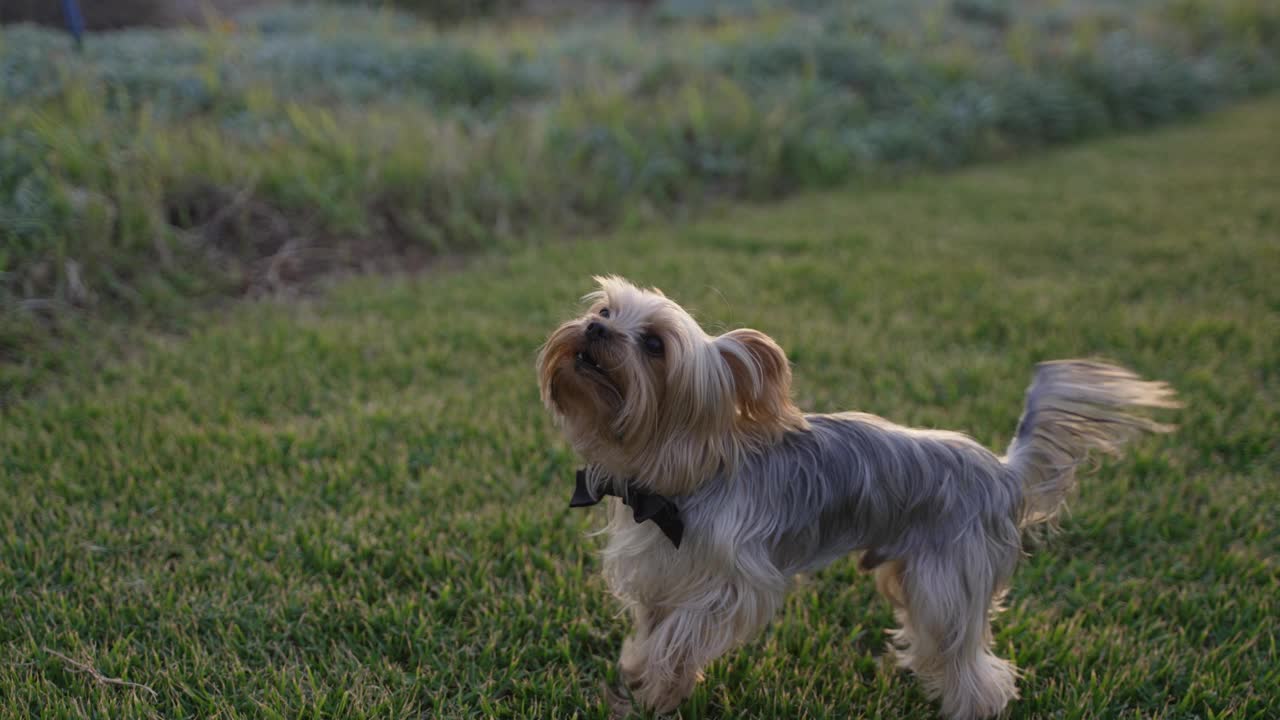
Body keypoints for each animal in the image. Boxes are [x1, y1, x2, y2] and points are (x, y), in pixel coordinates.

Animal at [532, 275, 1177, 717]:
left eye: (655, 345)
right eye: (605, 310)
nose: (594, 329)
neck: (673, 480)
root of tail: (1003, 470)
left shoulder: (735, 581)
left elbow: (683, 635)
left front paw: (660, 687)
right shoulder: (658, 569)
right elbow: (653, 630)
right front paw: (642, 677)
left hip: (948, 575)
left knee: (970, 657)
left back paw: (971, 702)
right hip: (910, 569)